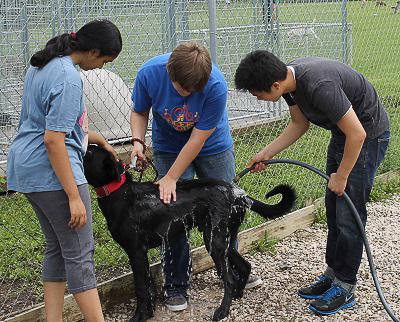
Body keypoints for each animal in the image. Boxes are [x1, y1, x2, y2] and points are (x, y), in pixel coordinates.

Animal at [83, 145, 296, 320]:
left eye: (90, 152)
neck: (119, 193)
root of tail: (238, 194)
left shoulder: (136, 253)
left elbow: (141, 289)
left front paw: (139, 317)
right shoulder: (141, 255)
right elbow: (148, 287)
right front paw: (149, 312)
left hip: (214, 242)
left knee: (229, 279)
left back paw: (223, 311)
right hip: (224, 240)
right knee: (244, 266)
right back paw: (238, 295)